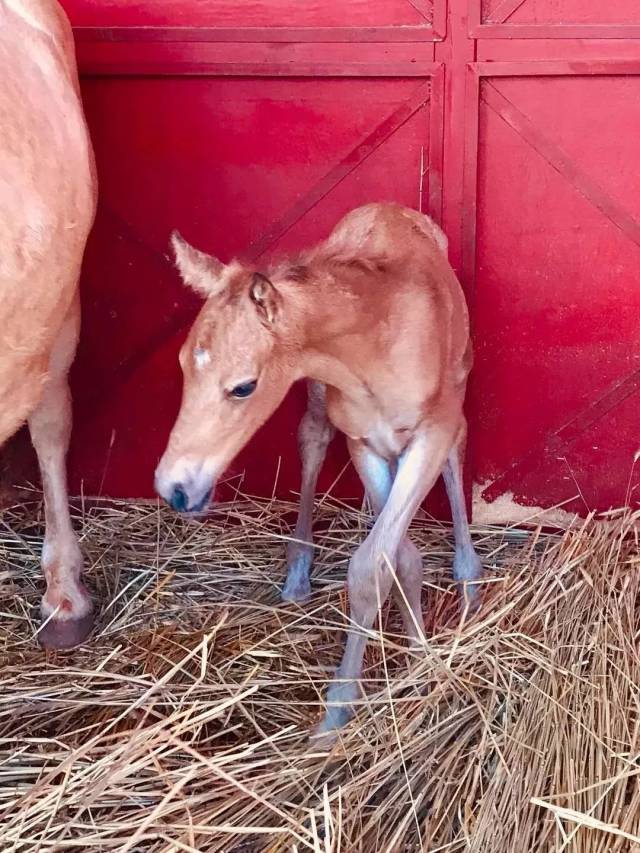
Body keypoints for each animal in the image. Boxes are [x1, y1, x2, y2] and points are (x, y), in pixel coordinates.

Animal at [158, 203, 482, 736]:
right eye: (184, 364)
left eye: (243, 386)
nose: (174, 487)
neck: (374, 351)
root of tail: (388, 207)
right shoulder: (363, 442)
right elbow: (395, 559)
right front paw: (408, 660)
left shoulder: (429, 433)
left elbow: (374, 563)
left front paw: (344, 706)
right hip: (315, 395)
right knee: (311, 440)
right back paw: (298, 573)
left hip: (458, 376)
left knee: (459, 446)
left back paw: (468, 571)